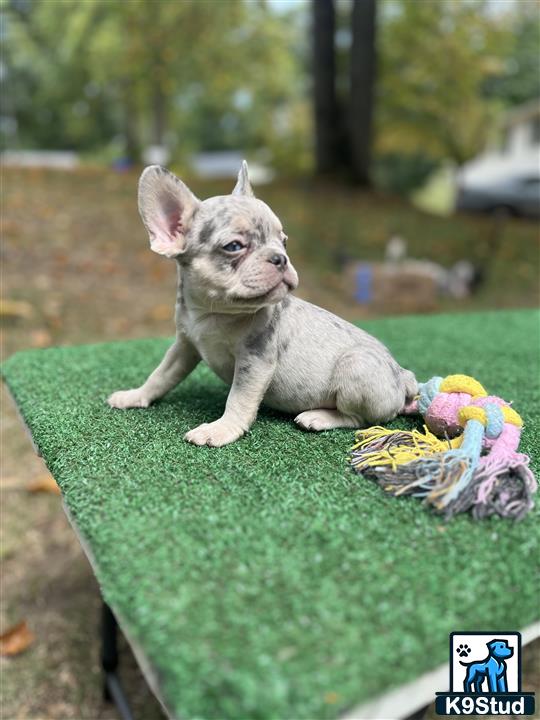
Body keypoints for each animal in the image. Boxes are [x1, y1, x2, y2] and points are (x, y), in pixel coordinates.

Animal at [107, 162, 416, 444]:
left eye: (284, 241)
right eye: (234, 246)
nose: (281, 258)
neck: (212, 312)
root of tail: (402, 376)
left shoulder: (254, 363)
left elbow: (238, 399)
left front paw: (220, 430)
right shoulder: (184, 347)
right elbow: (160, 375)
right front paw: (136, 395)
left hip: (356, 366)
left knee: (359, 419)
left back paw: (318, 417)